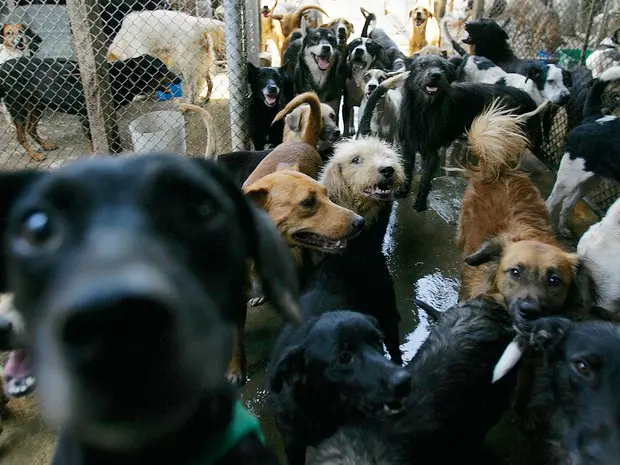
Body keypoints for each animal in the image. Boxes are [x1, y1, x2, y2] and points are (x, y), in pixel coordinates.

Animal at [398, 54, 544, 212]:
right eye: (423, 65)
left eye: (443, 67)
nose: (435, 75)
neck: (423, 109)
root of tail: (521, 94)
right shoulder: (407, 147)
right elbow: (407, 170)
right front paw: (402, 192)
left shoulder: (431, 153)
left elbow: (425, 180)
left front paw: (420, 203)